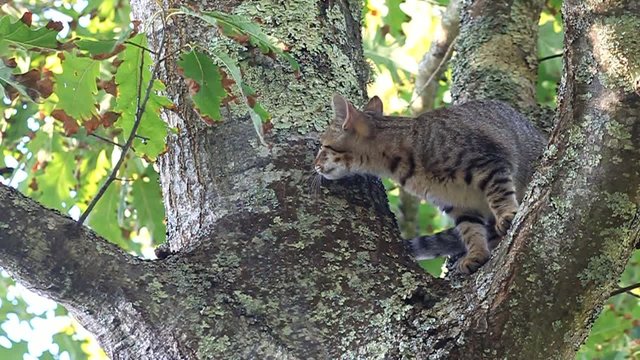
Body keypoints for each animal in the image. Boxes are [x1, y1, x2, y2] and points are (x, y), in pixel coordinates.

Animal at [316, 94, 544, 274]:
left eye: (323, 146)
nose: (315, 164)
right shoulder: (457, 205)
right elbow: (471, 230)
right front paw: (476, 254)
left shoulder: (489, 164)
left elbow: (499, 195)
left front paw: (506, 214)